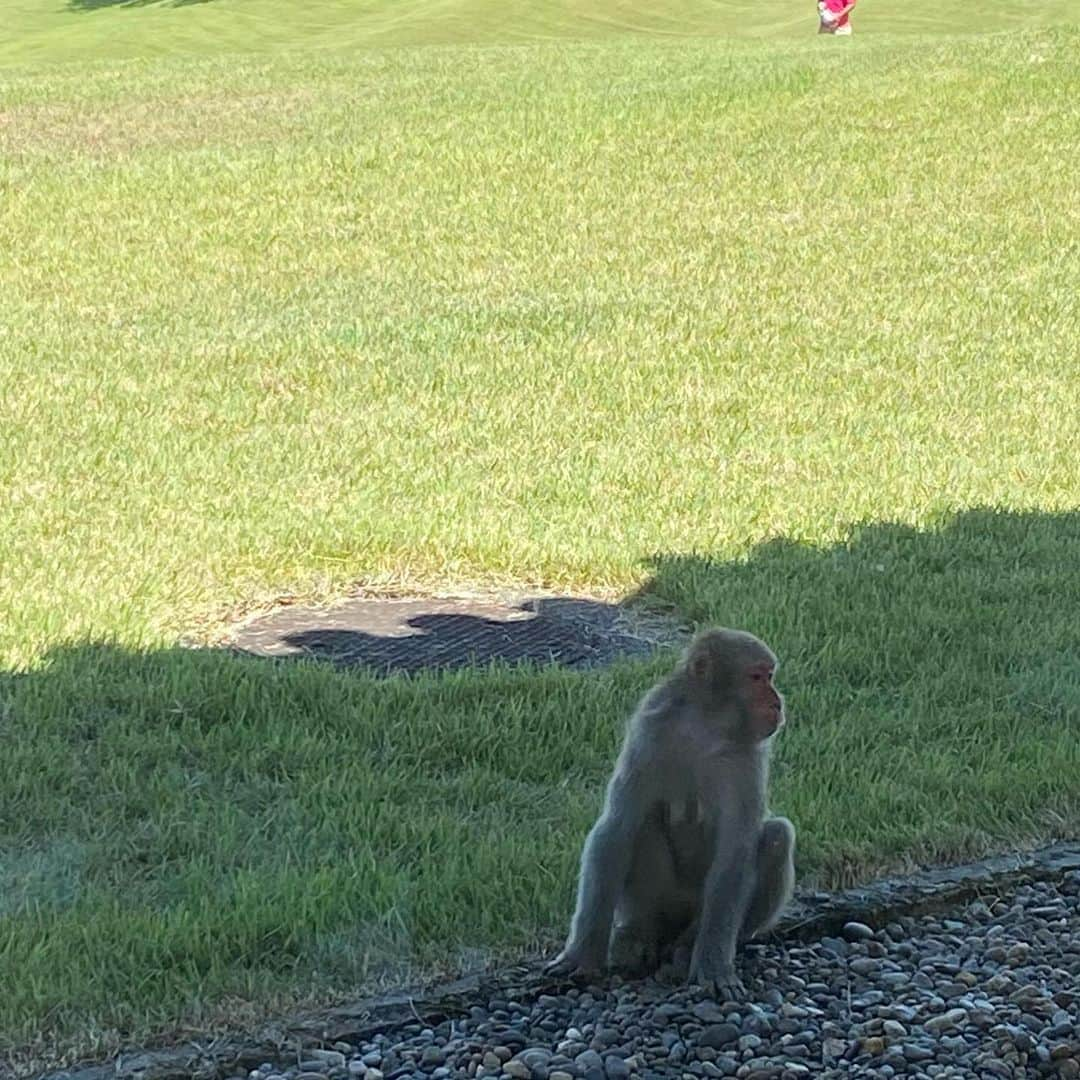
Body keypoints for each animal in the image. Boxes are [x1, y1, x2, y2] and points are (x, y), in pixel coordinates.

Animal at [548, 630, 794, 997]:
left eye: (770, 676)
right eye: (757, 677)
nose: (777, 701)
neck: (706, 726)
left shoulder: (747, 758)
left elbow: (735, 853)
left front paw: (713, 965)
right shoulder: (649, 731)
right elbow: (616, 828)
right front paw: (582, 955)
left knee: (778, 835)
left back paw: (687, 946)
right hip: (656, 903)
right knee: (643, 825)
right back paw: (637, 935)